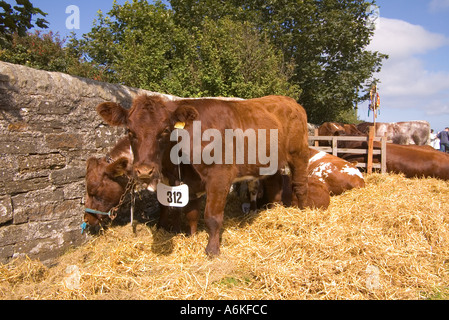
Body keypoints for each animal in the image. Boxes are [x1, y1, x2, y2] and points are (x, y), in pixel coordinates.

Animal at [96, 94, 310, 255]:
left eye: (165, 130)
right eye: (129, 130)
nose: (144, 170)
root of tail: (289, 100)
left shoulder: (220, 177)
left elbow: (212, 217)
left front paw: (212, 250)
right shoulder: (188, 183)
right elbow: (191, 214)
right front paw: (191, 237)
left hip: (298, 154)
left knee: (299, 185)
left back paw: (302, 212)